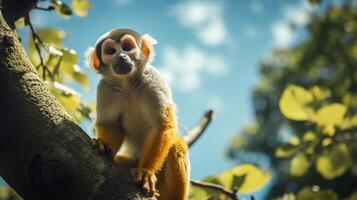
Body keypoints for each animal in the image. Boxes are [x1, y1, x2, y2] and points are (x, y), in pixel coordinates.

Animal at [85, 28, 189, 200]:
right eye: (111, 51)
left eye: (127, 47)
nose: (121, 56)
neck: (127, 83)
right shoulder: (105, 88)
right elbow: (111, 124)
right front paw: (103, 144)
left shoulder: (152, 79)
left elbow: (162, 126)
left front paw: (146, 172)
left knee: (176, 145)